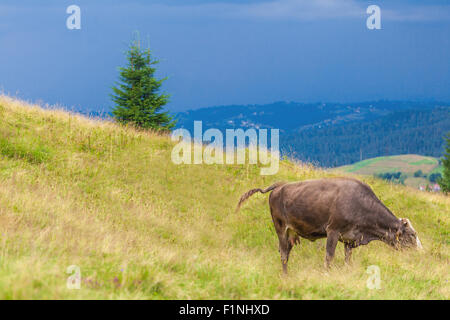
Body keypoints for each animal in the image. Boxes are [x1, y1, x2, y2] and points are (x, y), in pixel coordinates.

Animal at [237, 178, 424, 272]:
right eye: (412, 235)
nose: (420, 253)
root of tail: (279, 185)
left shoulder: (349, 239)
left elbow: (347, 259)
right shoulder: (333, 231)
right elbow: (329, 257)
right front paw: (327, 274)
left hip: (291, 233)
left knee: (286, 253)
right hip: (280, 227)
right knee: (283, 255)